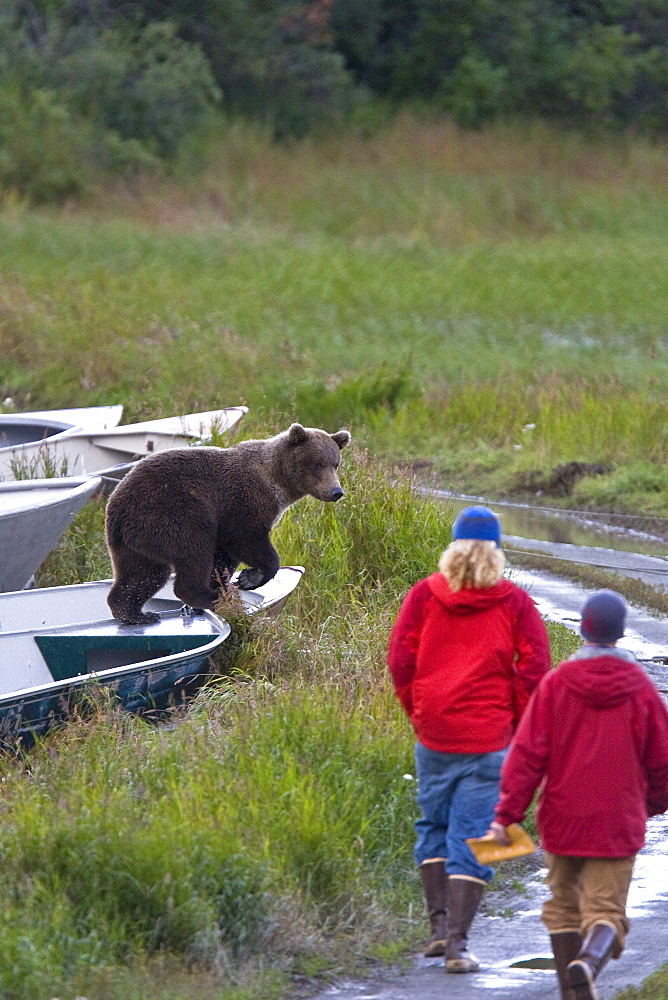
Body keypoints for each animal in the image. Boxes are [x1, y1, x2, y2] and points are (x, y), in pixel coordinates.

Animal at [105, 422, 350, 624]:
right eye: (317, 463)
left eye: (336, 464)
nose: (336, 491)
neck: (277, 483)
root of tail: (115, 505)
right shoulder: (242, 502)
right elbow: (245, 539)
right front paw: (249, 578)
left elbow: (223, 559)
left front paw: (234, 580)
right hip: (173, 511)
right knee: (193, 551)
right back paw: (206, 597)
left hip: (137, 540)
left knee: (143, 573)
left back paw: (136, 613)